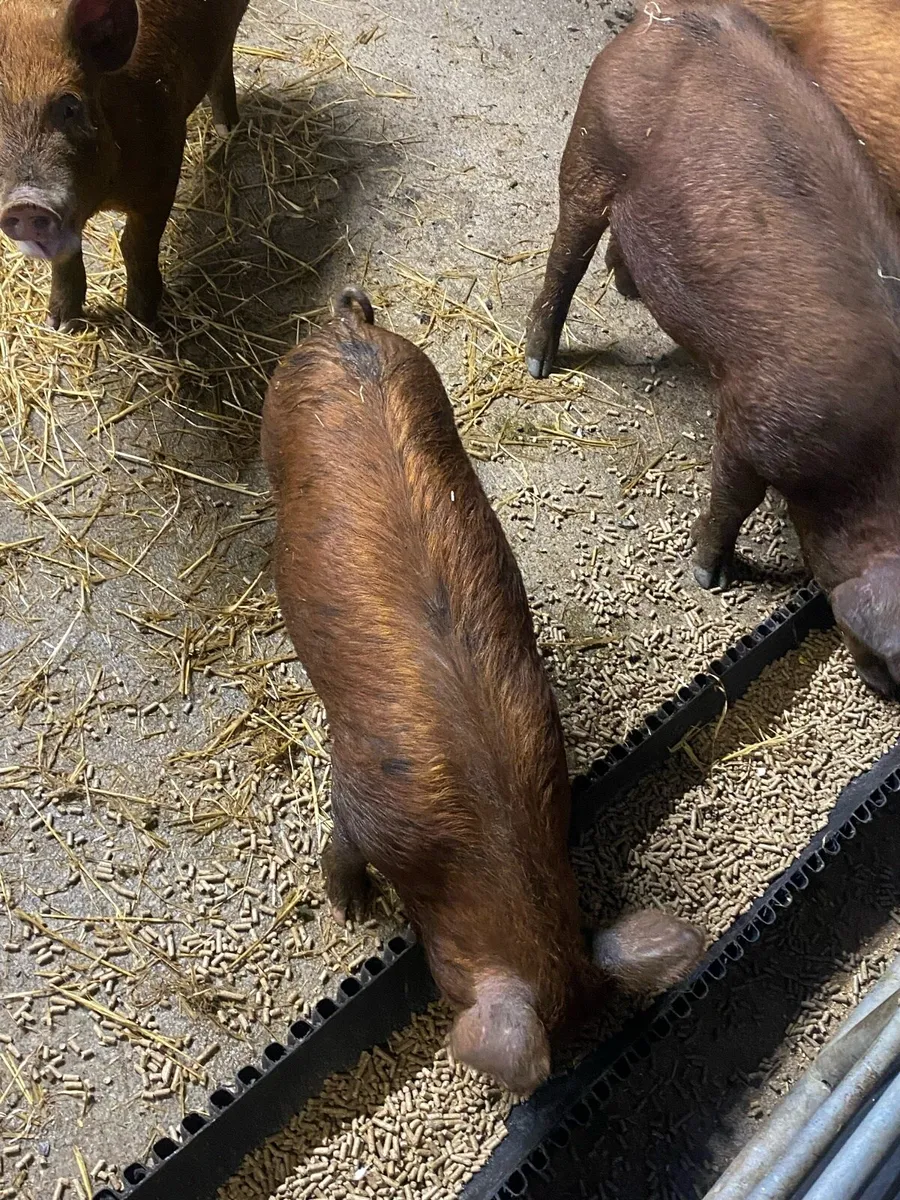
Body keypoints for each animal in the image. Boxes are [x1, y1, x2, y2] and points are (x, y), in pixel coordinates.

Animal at [0, 0, 248, 330]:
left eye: (70, 106)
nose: (25, 204)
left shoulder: (166, 163)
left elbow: (136, 245)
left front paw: (142, 323)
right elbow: (66, 257)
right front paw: (60, 324)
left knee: (225, 56)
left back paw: (228, 130)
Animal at [262, 287, 704, 1095]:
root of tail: (346, 327)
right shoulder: (360, 797)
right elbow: (340, 846)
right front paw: (350, 914)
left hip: (424, 375)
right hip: (277, 411)